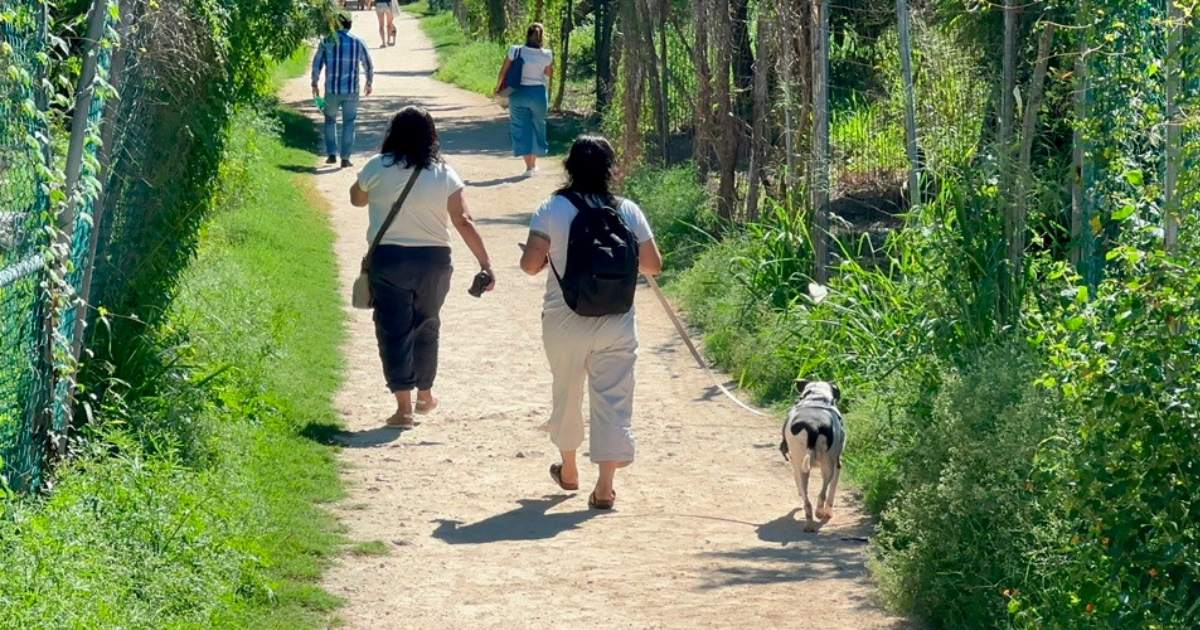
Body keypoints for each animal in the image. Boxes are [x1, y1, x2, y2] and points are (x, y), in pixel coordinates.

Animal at [782, 379, 849, 530]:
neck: (816, 397)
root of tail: (813, 426)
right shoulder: (838, 464)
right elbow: (832, 492)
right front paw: (828, 513)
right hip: (827, 466)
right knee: (822, 493)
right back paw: (819, 512)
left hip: (802, 466)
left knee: (807, 499)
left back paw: (811, 520)